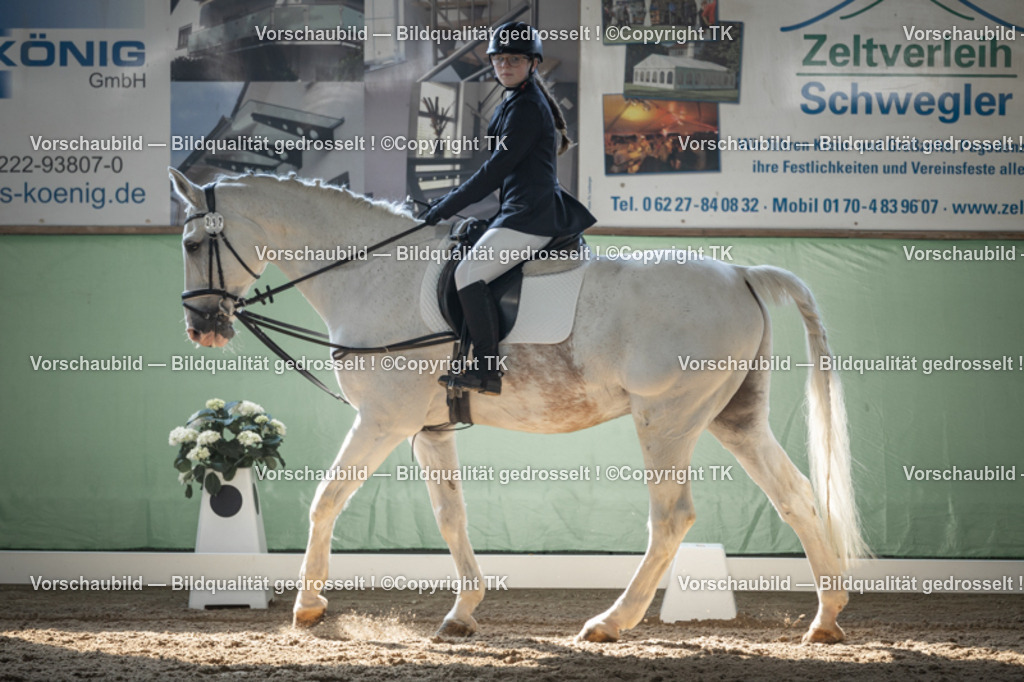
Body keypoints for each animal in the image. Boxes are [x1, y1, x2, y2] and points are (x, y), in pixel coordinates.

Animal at [169, 168, 867, 644]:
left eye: (191, 244)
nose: (201, 327)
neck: (373, 271)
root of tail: (741, 273)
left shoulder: (383, 420)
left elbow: (327, 499)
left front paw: (308, 609)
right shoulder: (429, 429)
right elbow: (451, 517)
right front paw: (462, 612)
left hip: (665, 421)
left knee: (672, 518)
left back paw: (611, 622)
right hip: (733, 418)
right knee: (797, 497)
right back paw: (826, 620)